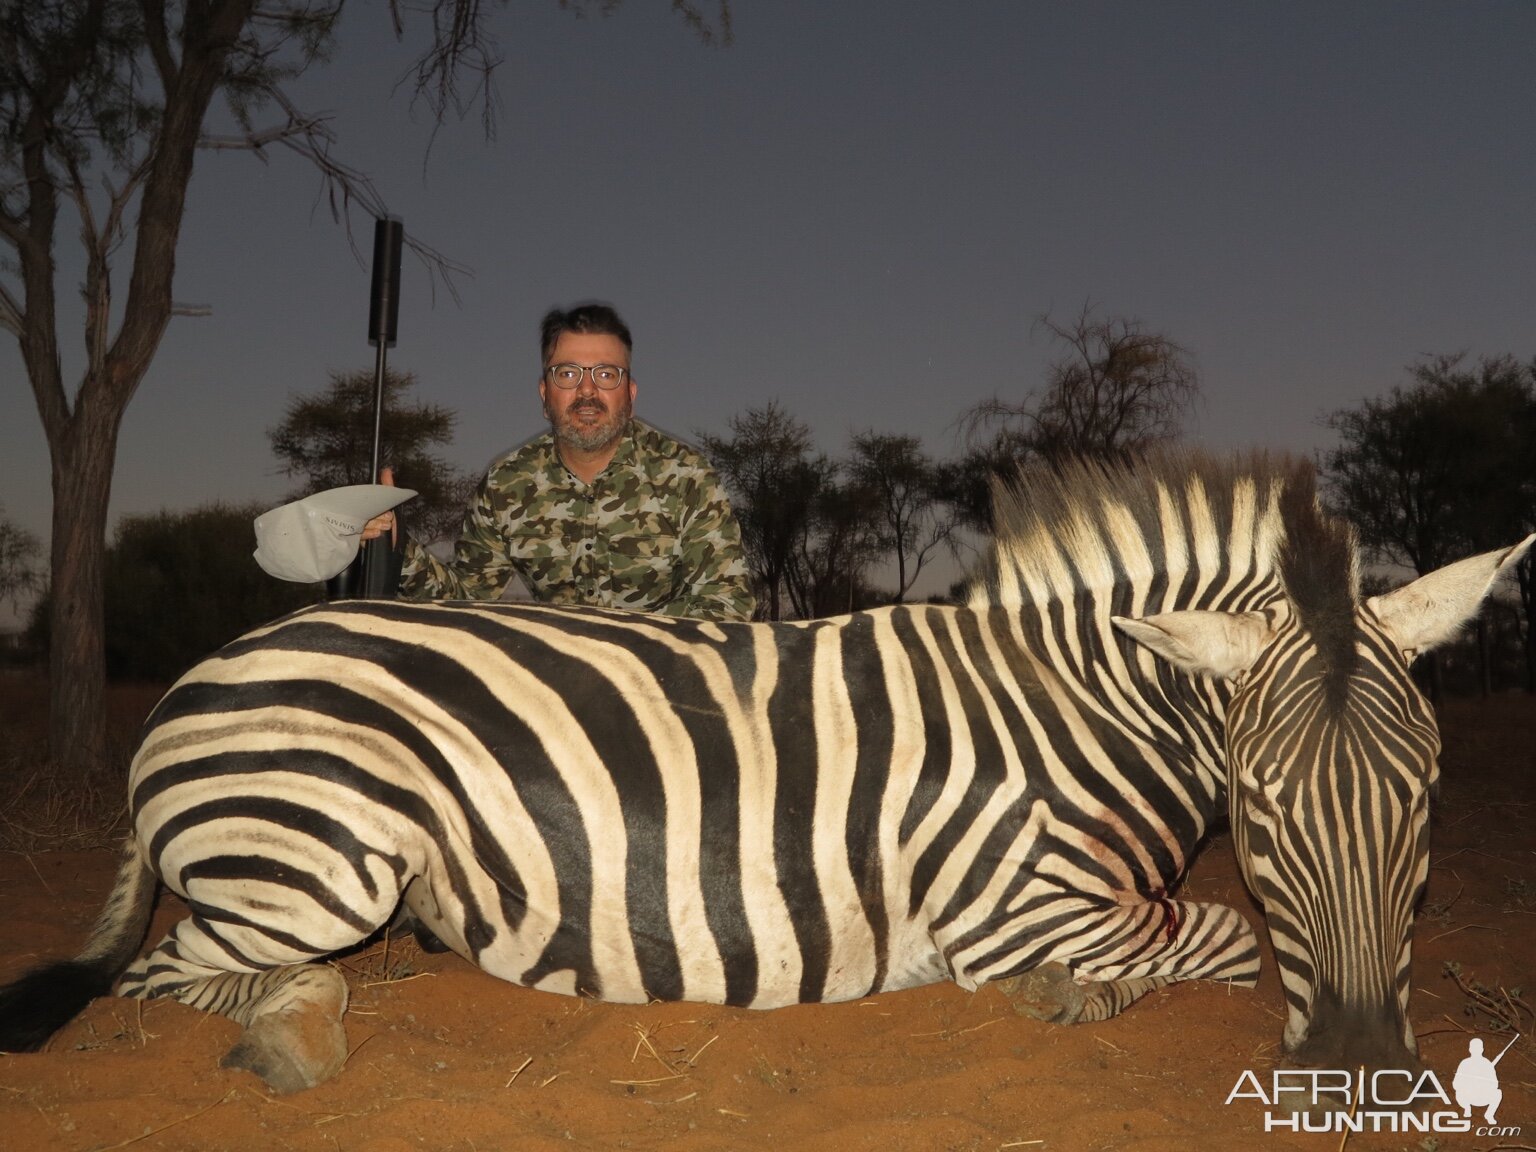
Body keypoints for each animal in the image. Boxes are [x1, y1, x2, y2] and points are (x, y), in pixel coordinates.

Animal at [0, 451, 1523, 1093]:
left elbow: (1215, 930)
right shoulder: (1014, 905)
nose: (1361, 1068)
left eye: (1428, 797)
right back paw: (298, 1033)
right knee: (169, 976)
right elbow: (1219, 935)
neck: (1077, 715)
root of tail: (198, 678)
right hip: (319, 862)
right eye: (1262, 804)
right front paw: (1071, 998)